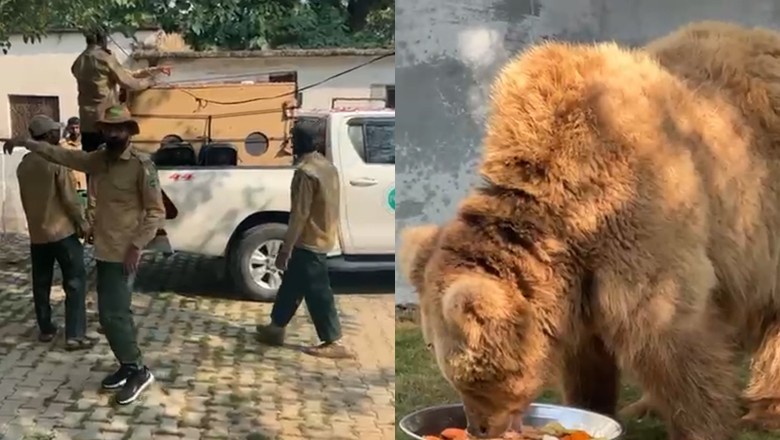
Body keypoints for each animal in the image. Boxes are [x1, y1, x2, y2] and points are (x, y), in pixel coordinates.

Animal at [399, 20, 780, 440]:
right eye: (454, 374)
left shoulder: (642, 219)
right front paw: (597, 406)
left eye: (477, 376)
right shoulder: (579, 278)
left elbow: (671, 337)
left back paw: (765, 409)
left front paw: (701, 424)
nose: (478, 427)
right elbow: (586, 358)